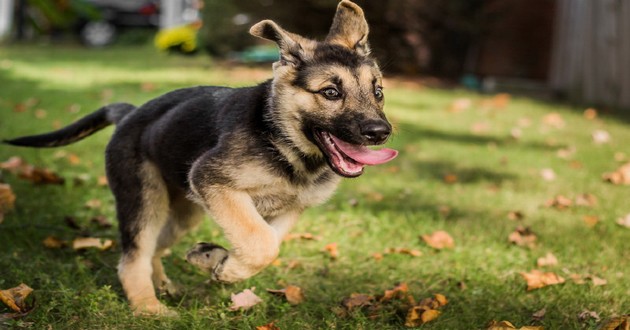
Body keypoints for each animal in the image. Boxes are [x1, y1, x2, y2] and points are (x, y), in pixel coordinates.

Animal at [4, 0, 398, 314]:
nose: (380, 132)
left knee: (154, 250)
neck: (283, 140)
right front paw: (227, 268)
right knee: (133, 258)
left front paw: (218, 260)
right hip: (144, 201)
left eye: (378, 92)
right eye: (330, 92)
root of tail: (130, 114)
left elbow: (267, 241)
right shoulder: (213, 180)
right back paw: (150, 309)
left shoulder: (290, 209)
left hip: (183, 211)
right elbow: (261, 243)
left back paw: (167, 284)